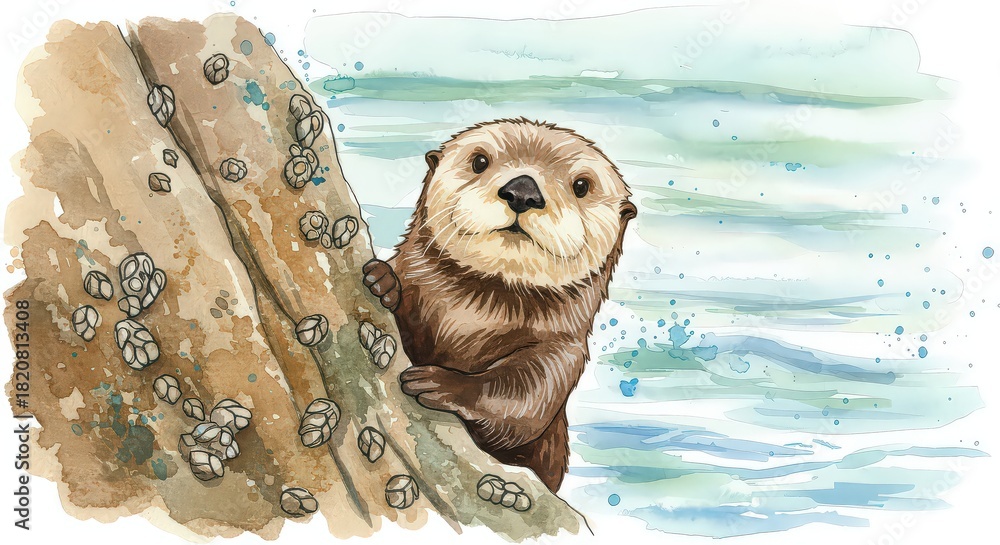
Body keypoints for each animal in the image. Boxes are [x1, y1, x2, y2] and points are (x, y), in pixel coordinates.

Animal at [363, 118, 636, 492]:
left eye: (581, 185)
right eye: (479, 161)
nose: (522, 191)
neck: (471, 316)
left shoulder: (564, 352)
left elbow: (526, 400)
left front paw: (443, 384)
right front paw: (384, 280)